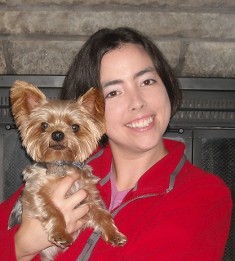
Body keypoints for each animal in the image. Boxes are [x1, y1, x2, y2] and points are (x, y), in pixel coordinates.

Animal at [8, 80, 126, 258]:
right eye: (44, 125)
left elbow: (102, 213)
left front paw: (114, 234)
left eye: (75, 127)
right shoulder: (33, 192)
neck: (62, 163)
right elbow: (52, 209)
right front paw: (60, 234)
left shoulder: (88, 196)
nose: (57, 134)